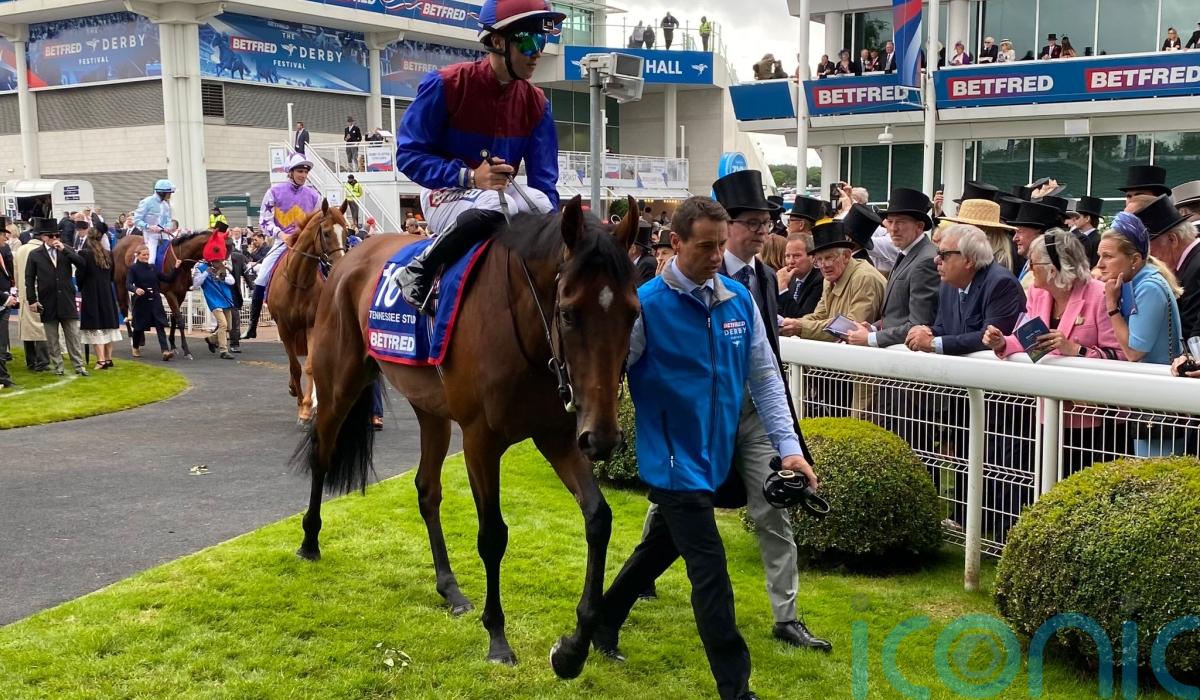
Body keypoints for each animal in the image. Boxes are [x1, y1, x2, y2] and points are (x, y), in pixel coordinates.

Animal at [113, 231, 213, 360]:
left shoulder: (181, 294)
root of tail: (120, 241)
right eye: (217, 248)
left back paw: (140, 339)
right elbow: (180, 319)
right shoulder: (169, 293)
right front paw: (186, 350)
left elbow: (174, 317)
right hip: (120, 284)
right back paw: (132, 338)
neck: (180, 261)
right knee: (124, 308)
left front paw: (173, 345)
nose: (222, 270)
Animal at [267, 200, 351, 427]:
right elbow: (295, 367)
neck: (298, 282)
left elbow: (310, 366)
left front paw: (306, 408)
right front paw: (300, 403)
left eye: (347, 233)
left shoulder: (310, 325)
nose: (340, 263)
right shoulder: (284, 328)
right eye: (327, 233)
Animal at [294, 196, 641, 679]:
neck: (524, 329)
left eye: (633, 313)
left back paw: (450, 588)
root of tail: (350, 257)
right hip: (339, 383)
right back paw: (309, 542)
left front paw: (573, 648)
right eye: (569, 312)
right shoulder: (481, 441)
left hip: (431, 410)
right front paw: (497, 638)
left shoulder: (558, 436)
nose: (605, 437)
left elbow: (598, 518)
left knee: (427, 490)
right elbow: (492, 535)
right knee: (322, 456)